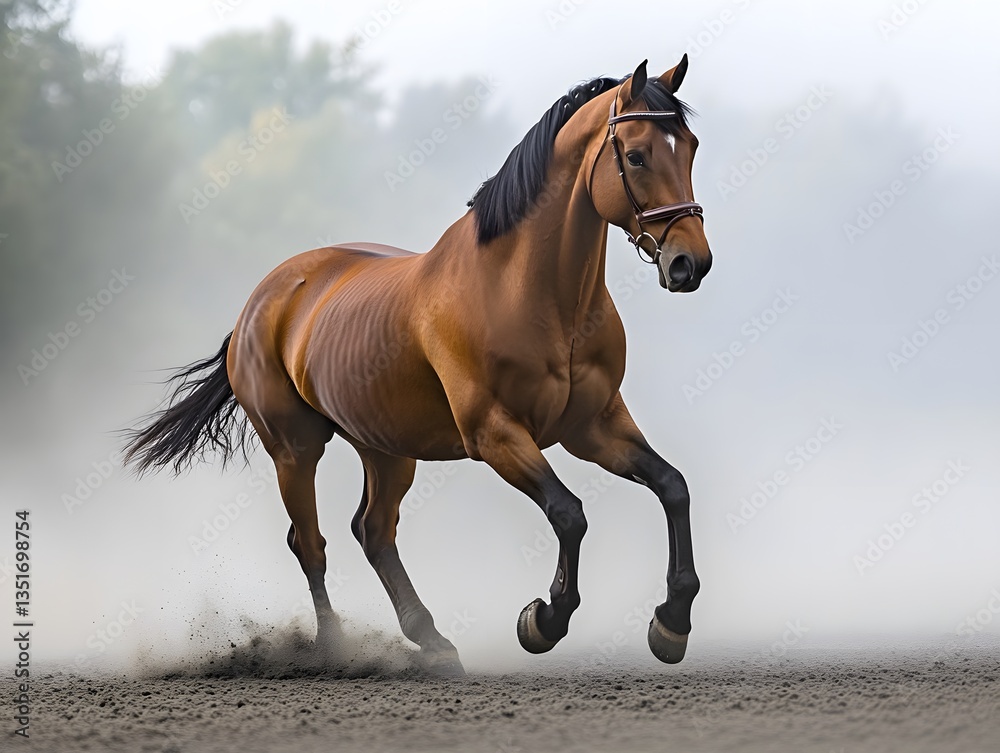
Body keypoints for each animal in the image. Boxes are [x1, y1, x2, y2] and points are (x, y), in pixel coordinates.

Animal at [124, 57, 712, 675]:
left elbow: (672, 486)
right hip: (296, 448)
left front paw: (671, 624)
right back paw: (335, 649)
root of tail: (258, 304)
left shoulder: (592, 428)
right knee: (311, 543)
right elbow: (569, 513)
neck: (532, 294)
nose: (689, 263)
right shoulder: (496, 434)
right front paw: (543, 620)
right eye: (637, 155)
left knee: (373, 531)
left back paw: (432, 640)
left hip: (385, 447)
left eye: (691, 147)